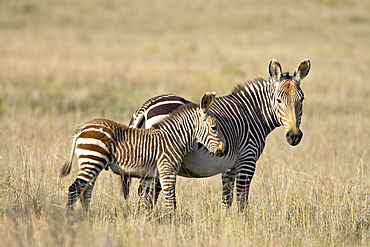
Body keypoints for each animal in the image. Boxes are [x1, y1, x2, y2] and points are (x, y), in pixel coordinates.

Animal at [60, 92, 225, 214]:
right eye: (214, 128)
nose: (223, 150)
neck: (174, 138)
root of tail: (82, 129)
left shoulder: (150, 174)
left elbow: (146, 199)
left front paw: (144, 221)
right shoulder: (167, 170)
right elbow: (170, 200)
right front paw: (173, 223)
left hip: (92, 163)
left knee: (86, 191)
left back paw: (85, 217)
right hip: (93, 160)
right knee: (74, 189)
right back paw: (69, 218)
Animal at [129, 58, 310, 211]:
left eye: (301, 99)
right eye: (278, 100)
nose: (294, 136)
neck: (252, 114)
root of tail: (145, 108)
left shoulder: (229, 166)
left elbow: (226, 200)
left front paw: (226, 224)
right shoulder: (247, 160)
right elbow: (242, 201)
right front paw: (243, 225)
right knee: (147, 196)